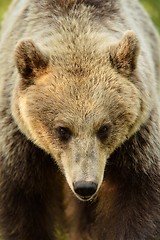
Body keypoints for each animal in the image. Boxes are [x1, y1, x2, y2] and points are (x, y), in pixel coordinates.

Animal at [0, 0, 159, 239]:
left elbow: (138, 200)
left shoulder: (138, 143)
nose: (85, 186)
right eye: (62, 129)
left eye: (104, 128)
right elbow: (22, 209)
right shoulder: (18, 147)